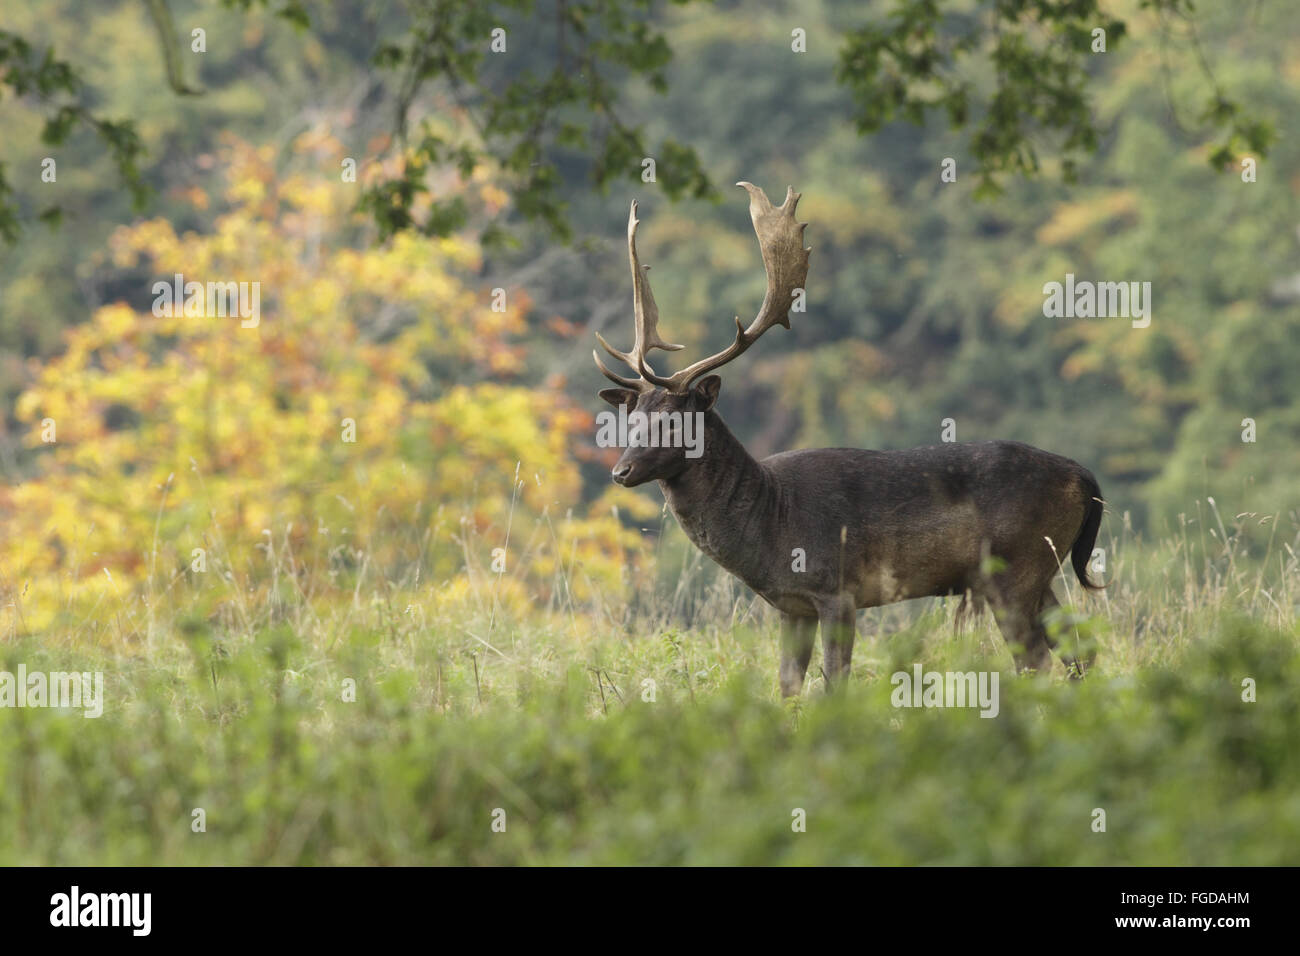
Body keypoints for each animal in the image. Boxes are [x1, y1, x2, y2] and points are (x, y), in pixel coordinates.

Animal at [594, 182, 1105, 697]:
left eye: (673, 421)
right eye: (631, 419)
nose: (621, 471)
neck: (772, 520)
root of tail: (1085, 477)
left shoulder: (837, 587)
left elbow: (835, 679)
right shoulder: (791, 604)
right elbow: (788, 684)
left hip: (1014, 566)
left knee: (1036, 658)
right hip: (1040, 571)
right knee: (1079, 654)